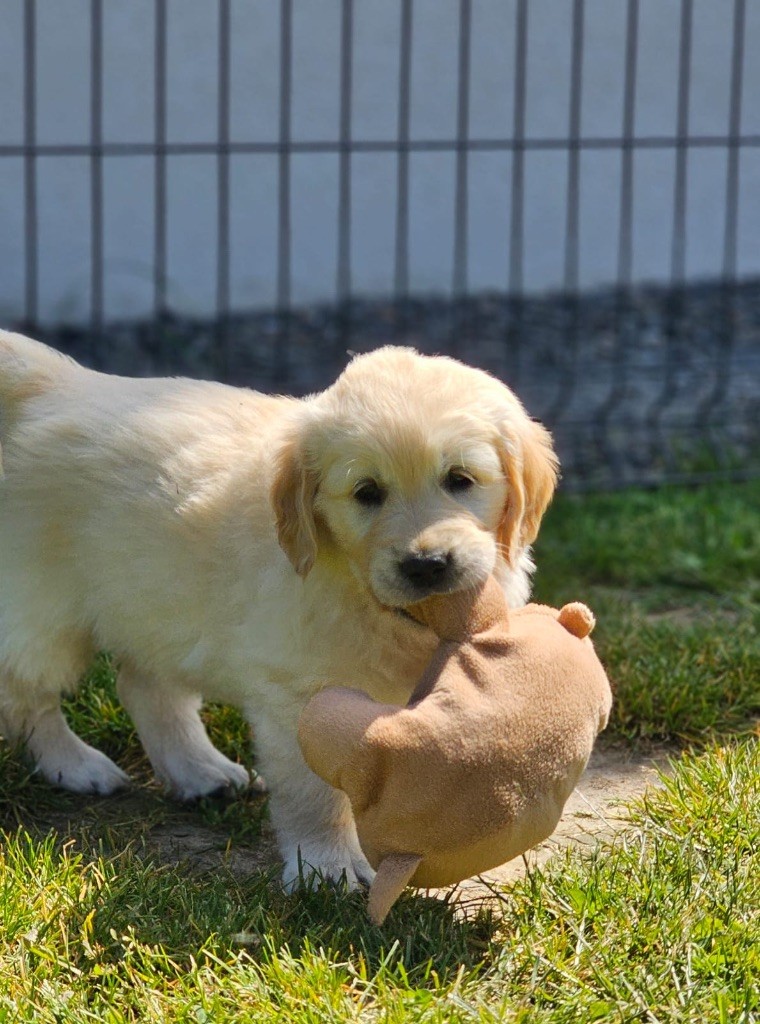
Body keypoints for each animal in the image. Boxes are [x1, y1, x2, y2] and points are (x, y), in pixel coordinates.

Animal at [0, 331, 561, 884]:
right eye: (367, 492)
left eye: (460, 480)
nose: (425, 566)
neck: (358, 593)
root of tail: (53, 382)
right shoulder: (300, 693)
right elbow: (316, 794)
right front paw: (327, 866)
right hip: (43, 609)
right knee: (27, 695)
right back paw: (75, 765)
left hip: (157, 601)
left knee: (145, 687)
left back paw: (199, 770)